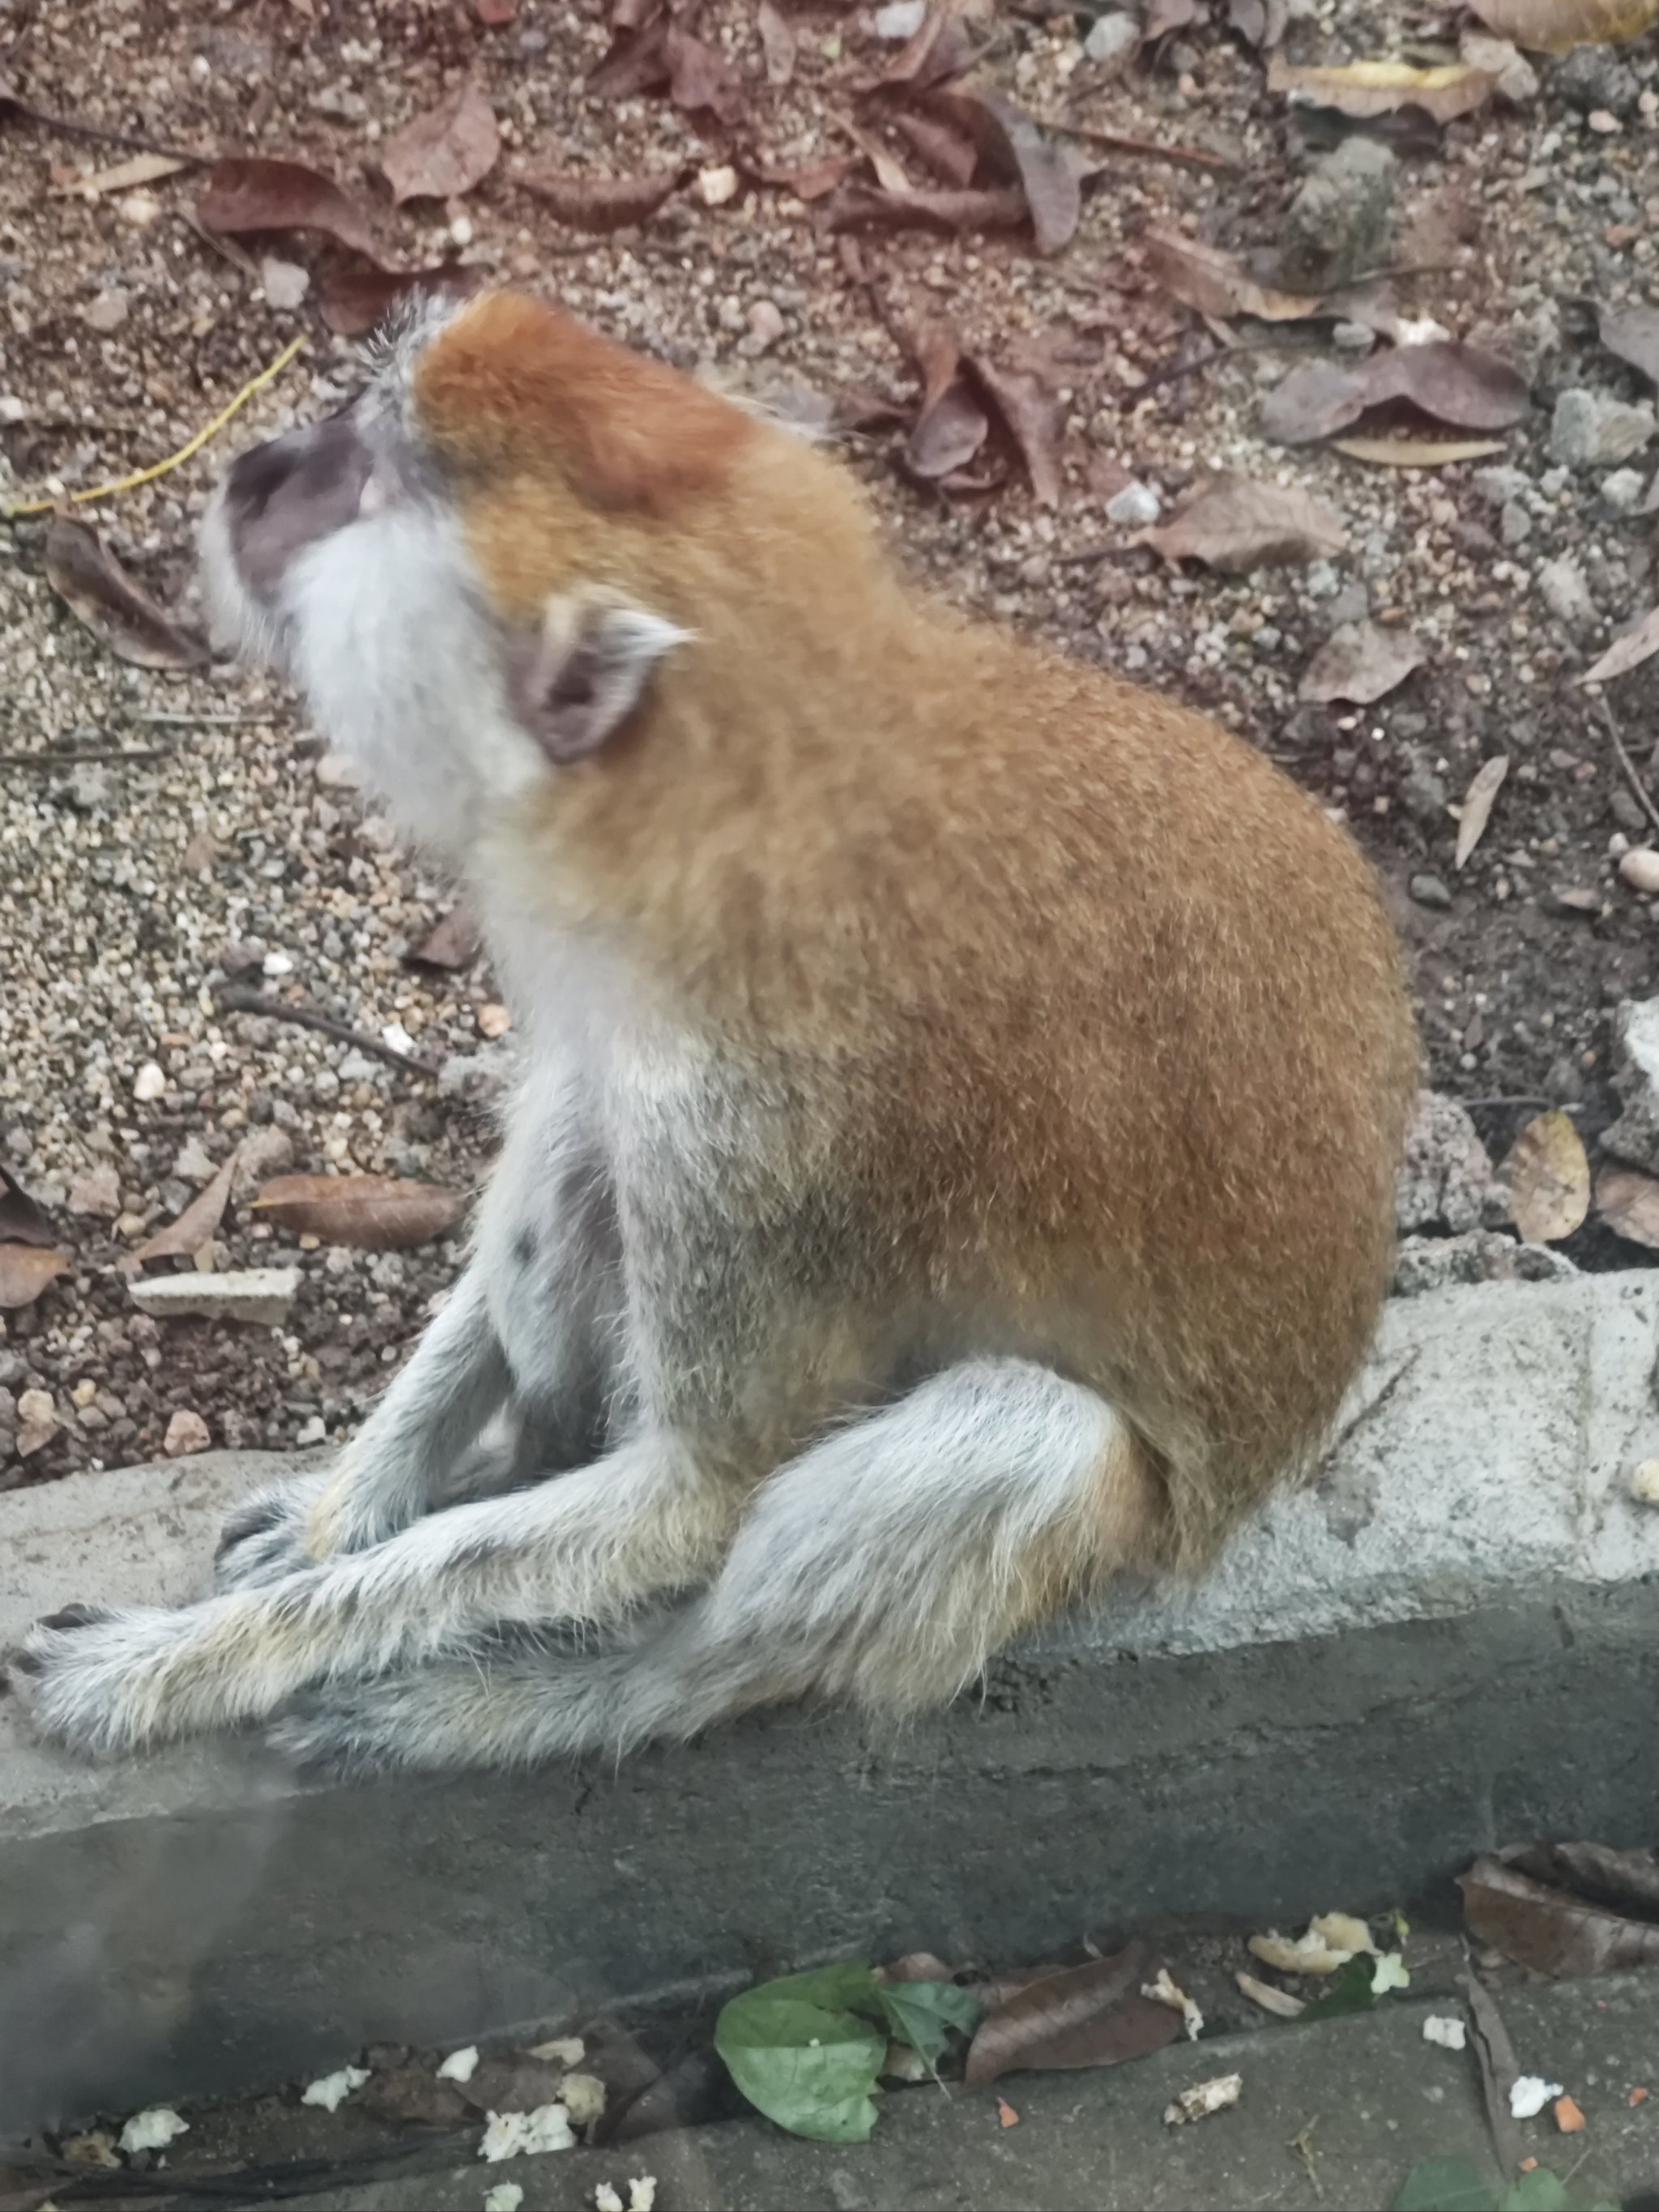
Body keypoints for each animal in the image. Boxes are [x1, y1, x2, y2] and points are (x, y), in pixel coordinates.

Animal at [6, 289, 1424, 1778]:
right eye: (352, 420)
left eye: (365, 480)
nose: (260, 469)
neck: (746, 780)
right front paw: (339, 1515)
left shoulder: (769, 1135)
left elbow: (696, 1496)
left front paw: (179, 1666)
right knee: (579, 1160)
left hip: (1111, 1514)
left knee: (1015, 1441)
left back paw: (562, 1693)